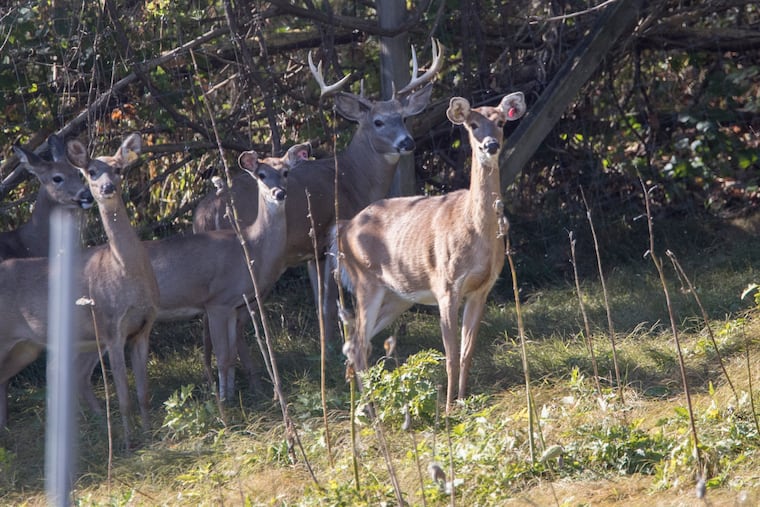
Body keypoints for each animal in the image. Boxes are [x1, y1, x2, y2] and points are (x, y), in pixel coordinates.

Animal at [0, 133, 159, 447]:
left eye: (118, 169)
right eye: (91, 171)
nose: (102, 190)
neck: (126, 271)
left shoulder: (143, 327)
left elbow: (143, 393)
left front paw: (149, 435)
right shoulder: (111, 328)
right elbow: (123, 396)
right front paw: (127, 443)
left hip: (28, 346)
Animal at [192, 40, 443, 369]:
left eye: (403, 117)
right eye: (378, 122)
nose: (407, 142)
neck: (351, 178)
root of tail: (208, 212)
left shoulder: (309, 252)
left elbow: (319, 301)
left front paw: (328, 344)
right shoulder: (327, 241)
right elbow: (328, 303)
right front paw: (332, 349)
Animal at [332, 93, 527, 410]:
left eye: (500, 122)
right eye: (472, 125)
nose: (490, 145)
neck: (475, 230)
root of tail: (344, 228)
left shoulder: (482, 288)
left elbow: (467, 353)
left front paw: (463, 401)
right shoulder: (446, 285)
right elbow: (450, 355)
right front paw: (447, 409)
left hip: (398, 296)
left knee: (353, 343)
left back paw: (360, 404)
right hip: (365, 282)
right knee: (358, 343)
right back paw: (371, 408)